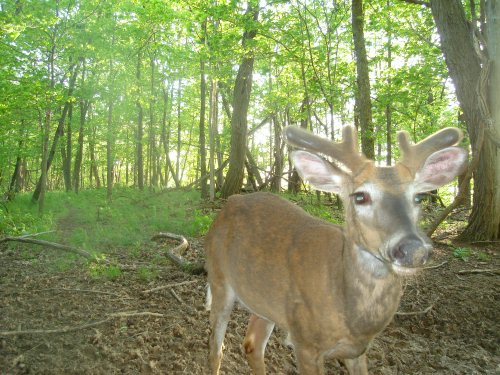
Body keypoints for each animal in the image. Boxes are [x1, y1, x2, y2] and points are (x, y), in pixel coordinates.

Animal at [202, 126, 464, 375]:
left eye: (418, 197)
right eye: (360, 196)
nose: (412, 249)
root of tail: (228, 204)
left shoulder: (357, 350)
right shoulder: (305, 342)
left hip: (265, 302)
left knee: (251, 345)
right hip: (219, 279)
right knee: (216, 348)